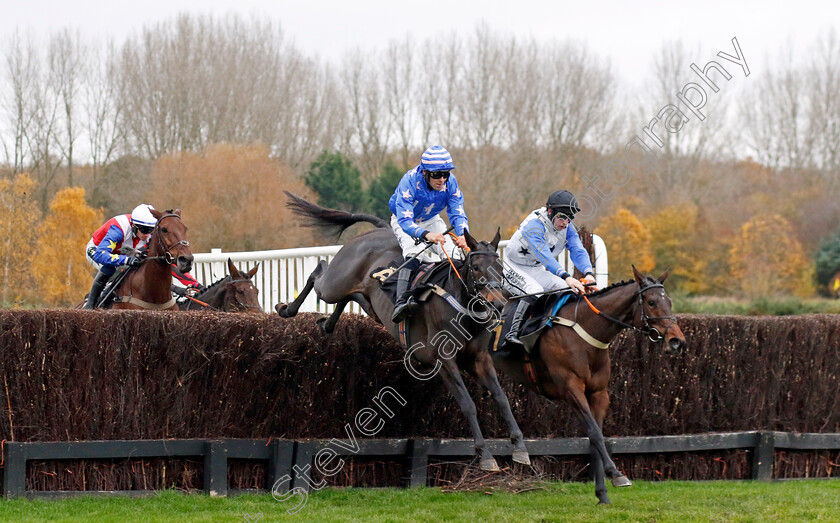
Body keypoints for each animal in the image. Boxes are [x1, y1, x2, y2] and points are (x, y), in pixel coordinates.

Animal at [278, 192, 532, 470]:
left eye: (501, 267)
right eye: (476, 268)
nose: (498, 303)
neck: (462, 306)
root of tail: (378, 230)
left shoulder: (479, 358)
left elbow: (502, 399)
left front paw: (520, 447)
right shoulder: (444, 360)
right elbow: (468, 404)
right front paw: (485, 455)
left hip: (368, 304)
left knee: (349, 296)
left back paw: (327, 324)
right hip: (335, 284)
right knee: (318, 273)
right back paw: (286, 308)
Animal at [492, 268, 684, 506]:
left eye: (670, 302)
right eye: (651, 302)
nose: (677, 341)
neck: (583, 332)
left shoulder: (599, 393)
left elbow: (595, 436)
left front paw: (602, 494)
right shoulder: (571, 390)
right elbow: (594, 432)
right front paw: (617, 474)